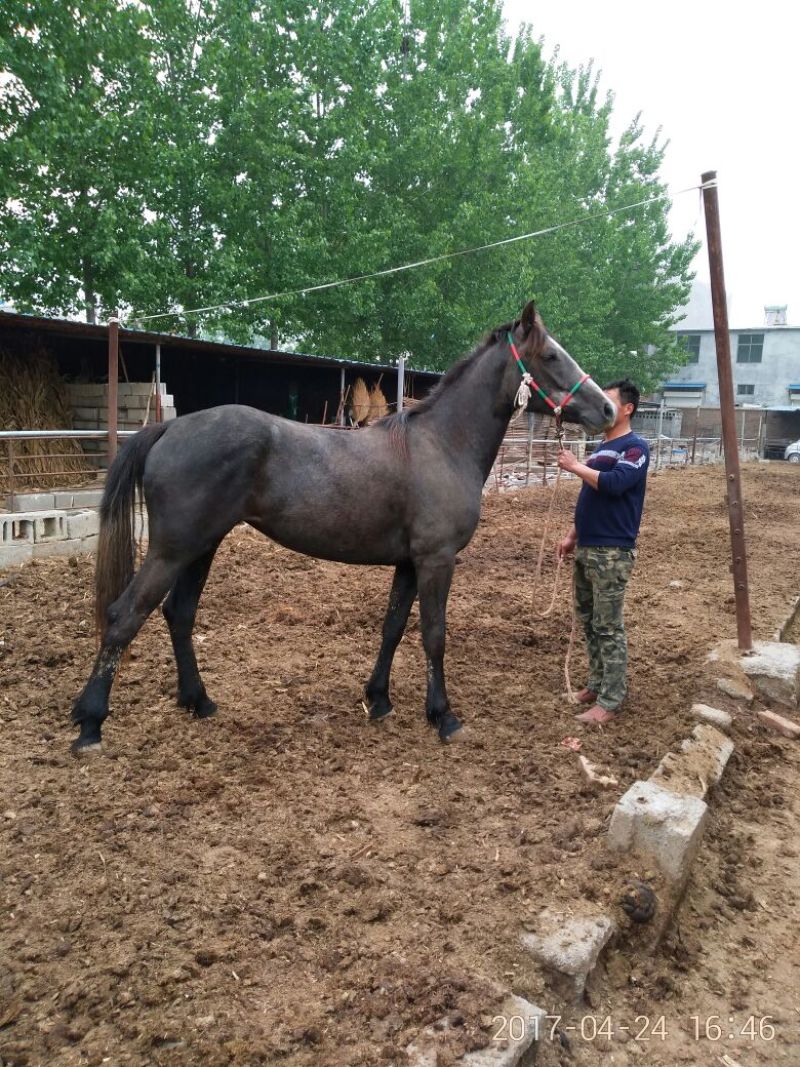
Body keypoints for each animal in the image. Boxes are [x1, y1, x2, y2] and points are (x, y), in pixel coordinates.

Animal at [72, 300, 618, 751]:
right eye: (551, 355)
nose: (608, 408)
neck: (441, 444)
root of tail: (170, 427)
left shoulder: (409, 563)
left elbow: (393, 627)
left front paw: (378, 700)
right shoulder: (437, 560)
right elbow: (434, 634)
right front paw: (443, 716)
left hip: (201, 547)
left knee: (178, 615)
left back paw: (199, 701)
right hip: (172, 549)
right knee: (124, 616)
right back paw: (90, 724)